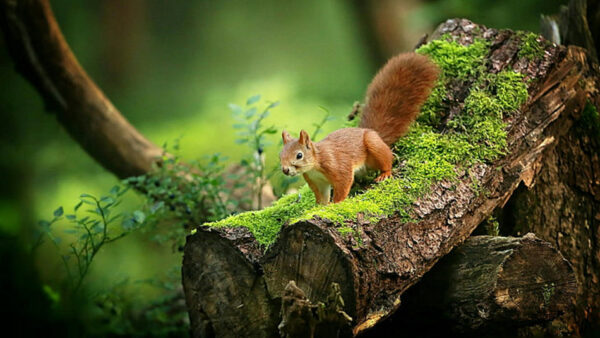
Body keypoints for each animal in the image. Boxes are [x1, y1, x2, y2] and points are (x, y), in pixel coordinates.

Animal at [278, 52, 438, 205]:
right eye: (280, 155)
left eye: (299, 155)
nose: (285, 170)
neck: (315, 164)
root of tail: (373, 133)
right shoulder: (317, 181)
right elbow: (322, 196)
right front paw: (319, 207)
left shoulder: (338, 167)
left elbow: (343, 184)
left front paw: (336, 203)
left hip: (373, 145)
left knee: (388, 158)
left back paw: (385, 173)